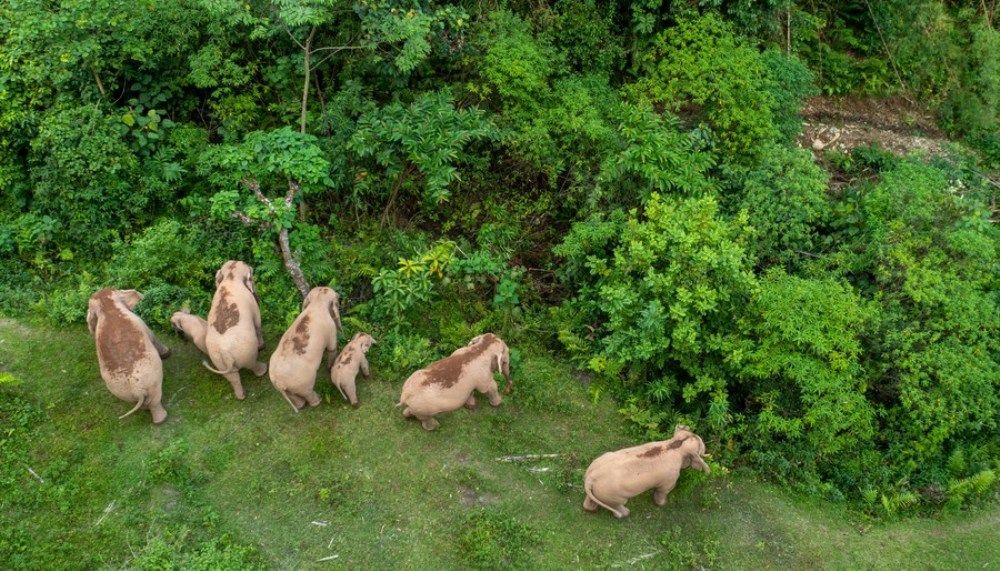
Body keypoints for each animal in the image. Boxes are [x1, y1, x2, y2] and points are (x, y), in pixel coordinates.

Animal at [86, 288, 171, 424]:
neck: (107, 307)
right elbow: (154, 338)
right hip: (153, 383)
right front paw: (168, 353)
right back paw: (162, 420)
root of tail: (138, 390)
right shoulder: (142, 324)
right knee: (155, 401)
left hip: (123, 392)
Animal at [203, 260, 267, 400]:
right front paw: (262, 346)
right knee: (251, 363)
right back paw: (263, 370)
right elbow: (257, 323)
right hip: (246, 350)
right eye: (252, 274)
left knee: (232, 377)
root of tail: (225, 353)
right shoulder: (252, 304)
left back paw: (241, 396)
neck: (230, 277)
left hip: (218, 360)